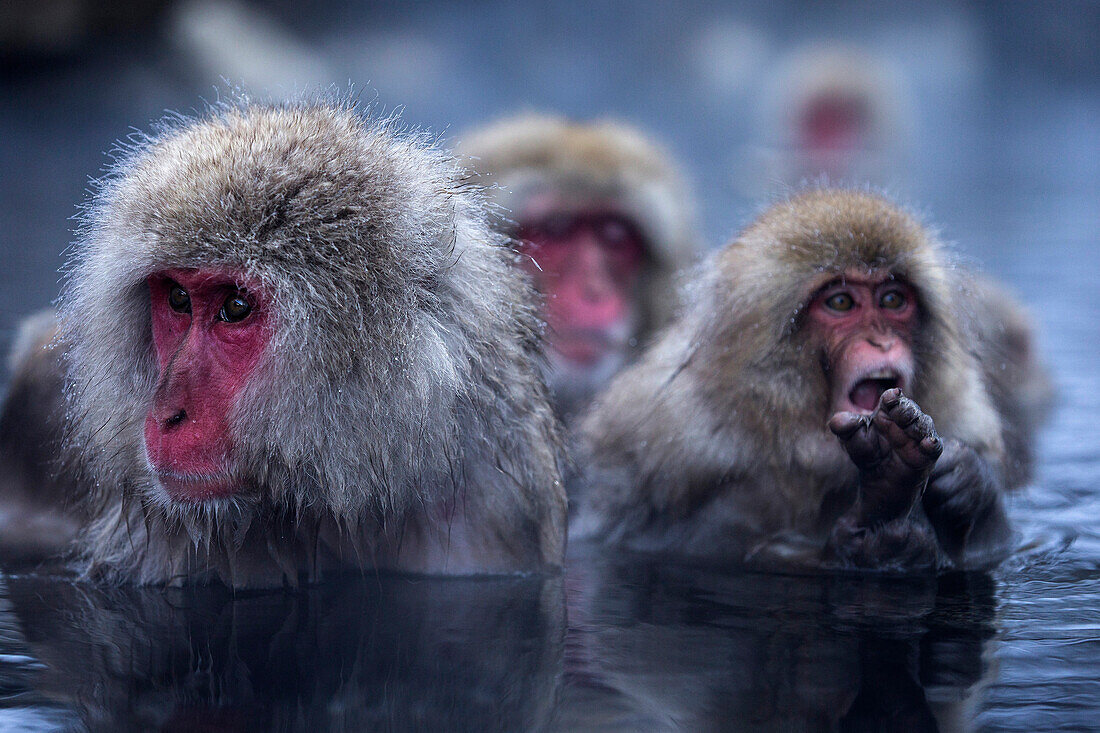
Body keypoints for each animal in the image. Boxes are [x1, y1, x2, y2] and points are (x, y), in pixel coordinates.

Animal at [572, 188, 1034, 572]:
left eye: (892, 300)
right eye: (841, 302)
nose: (881, 341)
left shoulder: (960, 412)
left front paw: (967, 484)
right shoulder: (658, 434)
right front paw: (869, 520)